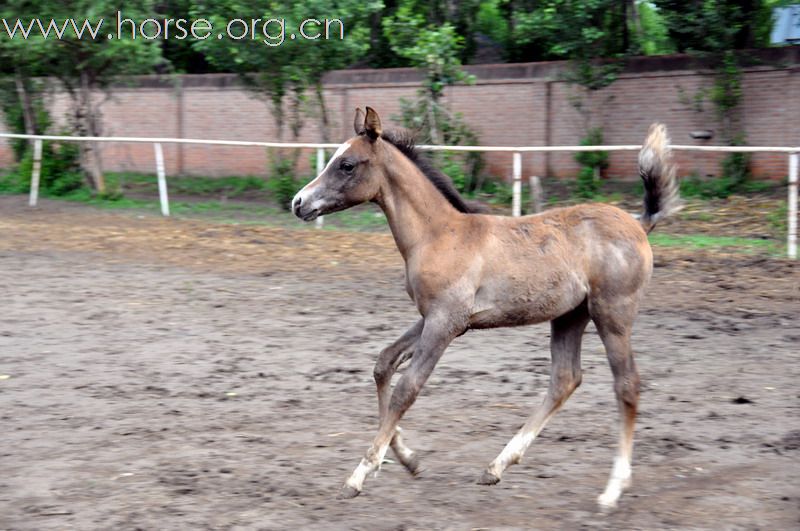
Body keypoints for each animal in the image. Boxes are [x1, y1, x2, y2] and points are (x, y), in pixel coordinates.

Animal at [290, 106, 680, 510]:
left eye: (347, 164)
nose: (298, 203)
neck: (437, 235)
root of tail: (639, 225)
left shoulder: (445, 322)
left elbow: (407, 388)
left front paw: (359, 475)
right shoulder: (434, 318)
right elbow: (383, 364)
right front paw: (406, 459)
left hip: (612, 314)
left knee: (626, 384)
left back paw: (613, 488)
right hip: (570, 316)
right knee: (565, 378)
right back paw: (496, 467)